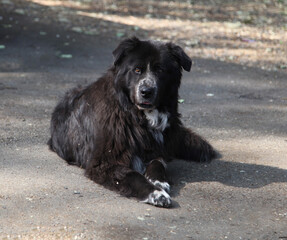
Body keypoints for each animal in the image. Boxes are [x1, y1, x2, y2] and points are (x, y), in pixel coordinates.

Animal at [48, 37, 217, 208]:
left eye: (160, 70)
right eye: (136, 70)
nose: (146, 91)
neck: (136, 116)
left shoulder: (156, 149)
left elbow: (158, 163)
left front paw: (158, 181)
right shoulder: (105, 163)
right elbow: (133, 176)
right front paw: (156, 193)